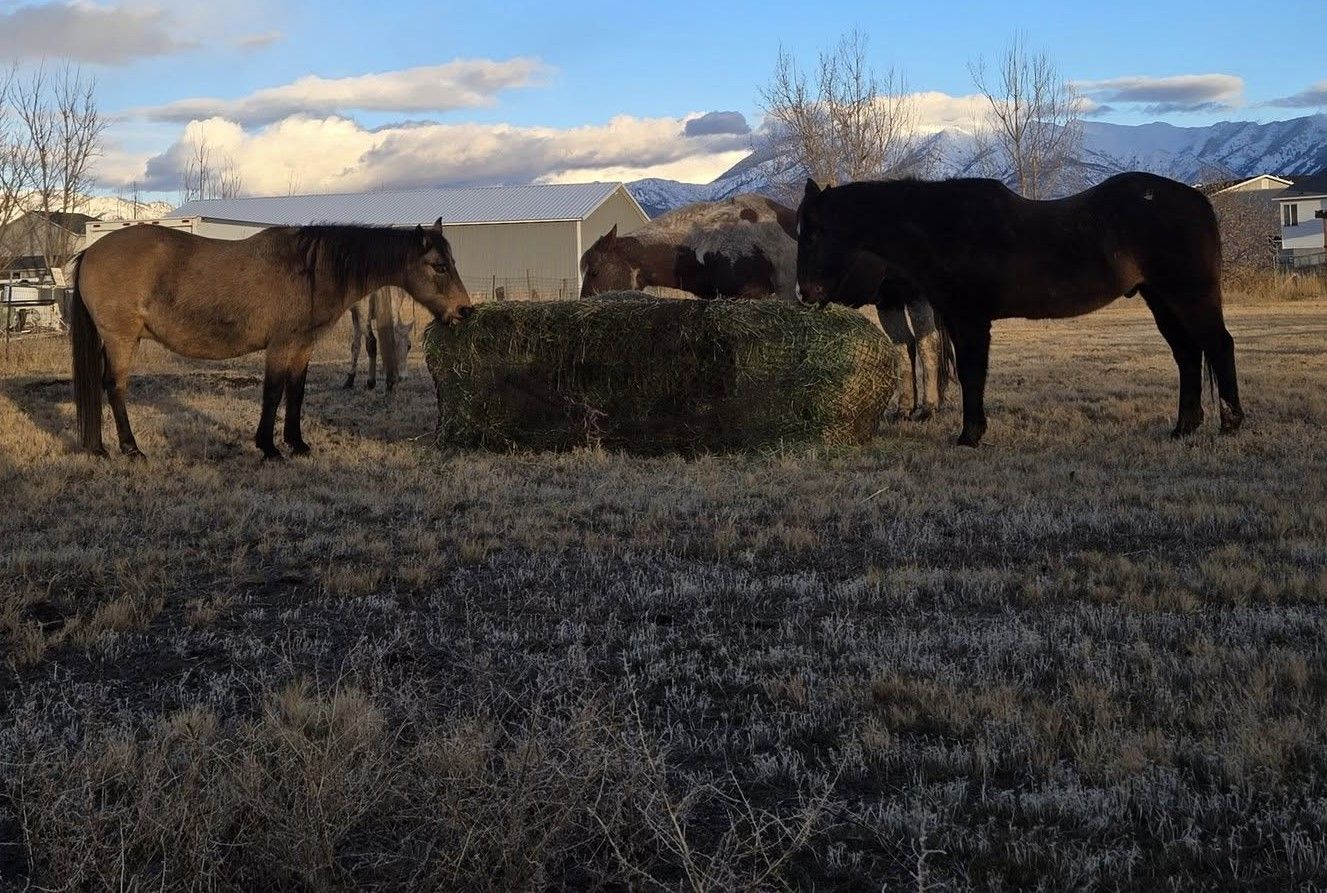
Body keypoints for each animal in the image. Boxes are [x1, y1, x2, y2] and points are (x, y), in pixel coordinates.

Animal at [68, 219, 471, 460]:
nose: (464, 310)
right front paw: (269, 447)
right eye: (439, 266)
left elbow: (296, 393)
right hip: (121, 339)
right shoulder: (280, 346)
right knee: (114, 387)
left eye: (453, 261)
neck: (310, 269)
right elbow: (274, 393)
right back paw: (129, 448)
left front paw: (297, 443)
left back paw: (98, 447)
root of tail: (91, 250)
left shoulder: (302, 347)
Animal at [581, 193, 951, 419]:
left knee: (927, 344)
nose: (584, 305)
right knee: (905, 347)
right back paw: (904, 410)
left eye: (595, 269)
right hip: (889, 301)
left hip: (915, 298)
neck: (712, 239)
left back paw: (928, 409)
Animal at [795, 173, 1243, 447]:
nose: (804, 292)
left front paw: (969, 435)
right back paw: (1183, 427)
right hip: (1161, 299)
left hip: (1189, 295)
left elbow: (973, 375)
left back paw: (1230, 423)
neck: (943, 228)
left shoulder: (970, 319)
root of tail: (1198, 199)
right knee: (1187, 355)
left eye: (814, 232)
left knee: (1218, 345)